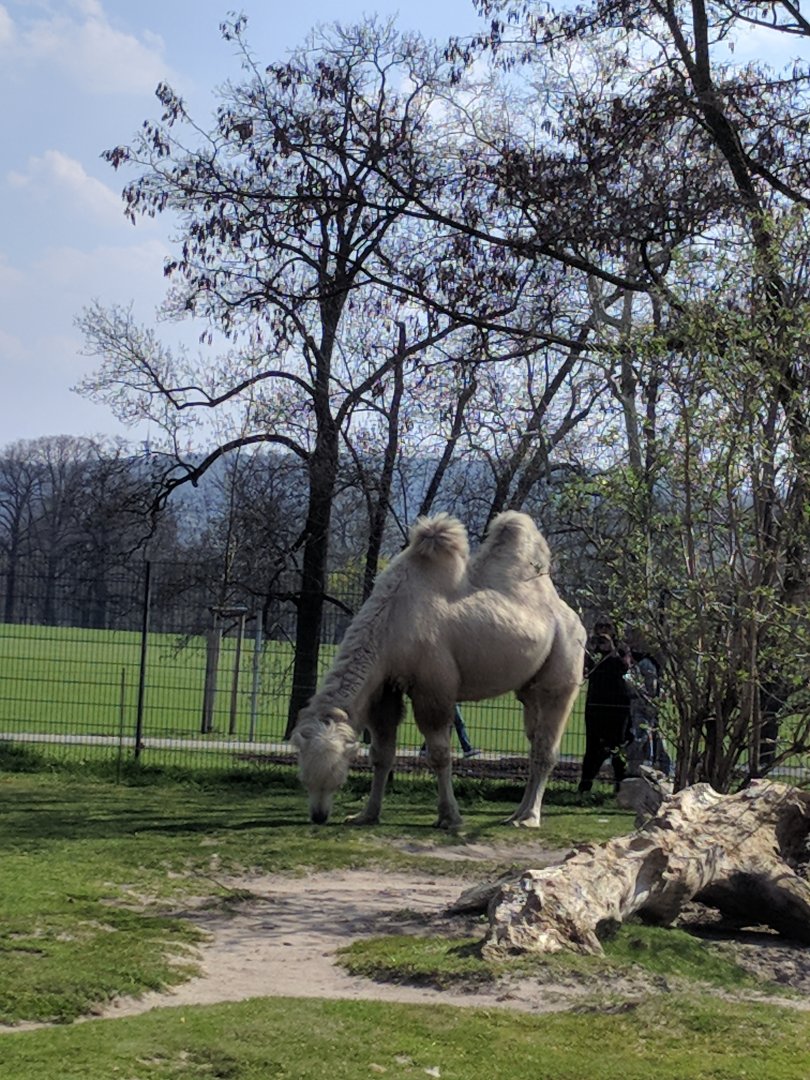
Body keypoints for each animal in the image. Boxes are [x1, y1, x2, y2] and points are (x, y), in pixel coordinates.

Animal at [291, 511, 586, 829]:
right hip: (529, 688)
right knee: (533, 737)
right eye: (303, 779)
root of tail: (575, 619)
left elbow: (440, 754)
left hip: (563, 668)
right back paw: (515, 814)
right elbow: (381, 754)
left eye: (338, 779)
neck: (391, 623)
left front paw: (449, 817)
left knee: (546, 745)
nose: (318, 816)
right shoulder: (385, 687)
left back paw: (529, 817)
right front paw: (366, 814)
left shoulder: (434, 687)